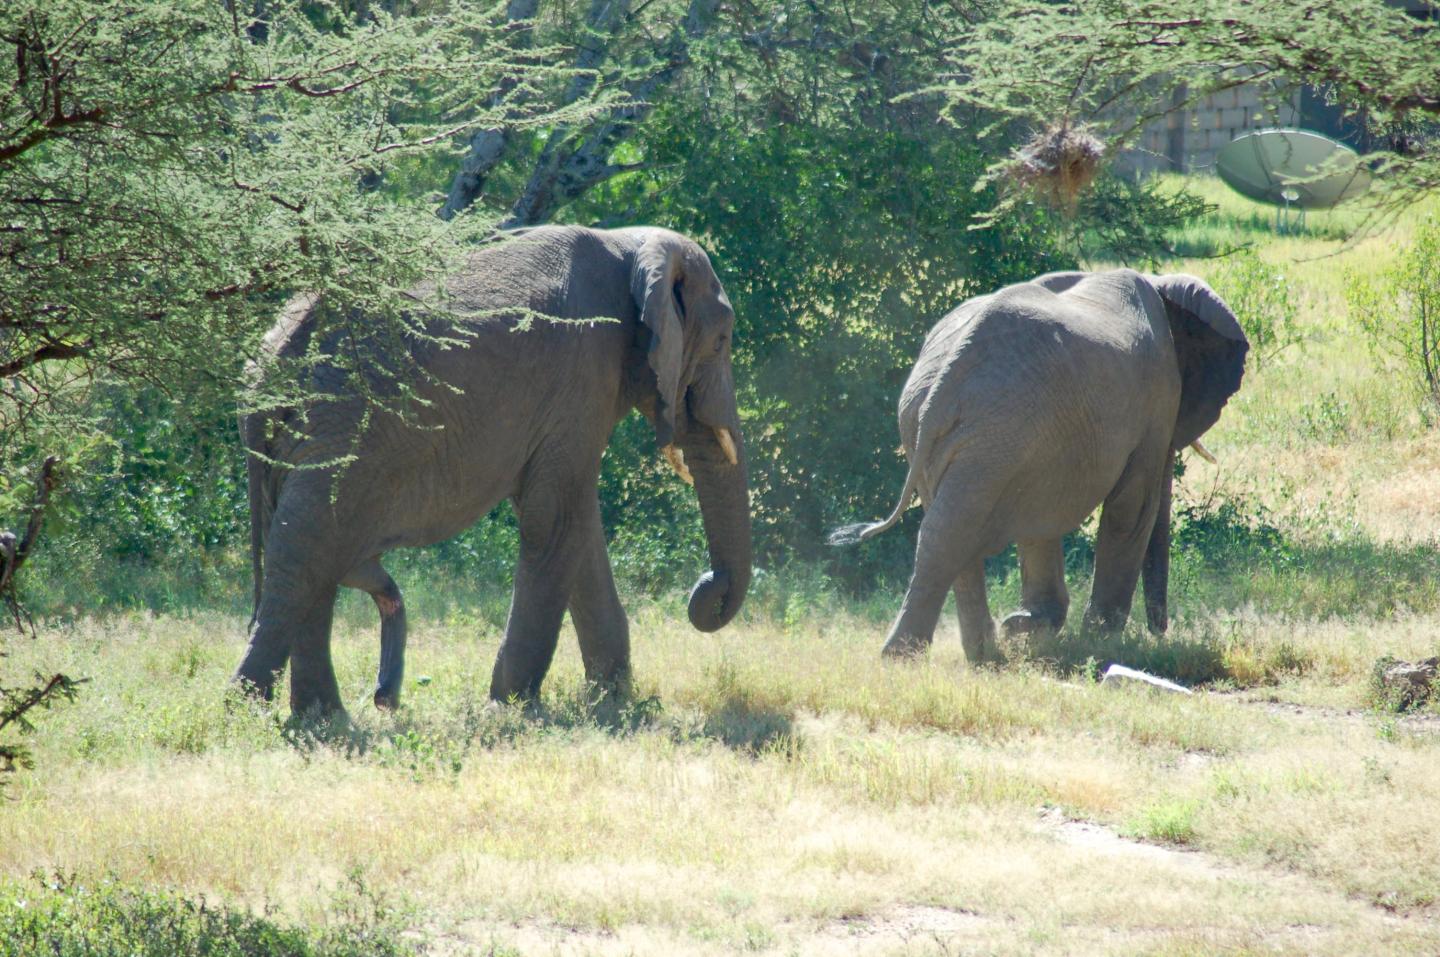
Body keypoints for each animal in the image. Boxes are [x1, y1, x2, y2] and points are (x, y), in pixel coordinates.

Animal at [234, 226, 751, 716]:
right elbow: (556, 516)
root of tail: (272, 357)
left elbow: (576, 527)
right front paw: (515, 705)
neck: (629, 245)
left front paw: (612, 701)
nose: (705, 590)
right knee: (306, 551)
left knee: (311, 552)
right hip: (345, 427)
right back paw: (249, 711)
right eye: (722, 341)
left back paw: (321, 719)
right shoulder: (585, 369)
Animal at [831, 268, 1247, 662]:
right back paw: (911, 657)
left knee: (951, 524)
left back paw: (981, 652)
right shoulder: (1158, 399)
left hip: (948, 429)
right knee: (954, 527)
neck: (1159, 284)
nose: (1160, 629)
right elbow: (1131, 509)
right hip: (998, 427)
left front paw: (1027, 625)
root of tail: (945, 379)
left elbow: (1042, 516)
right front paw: (1100, 644)